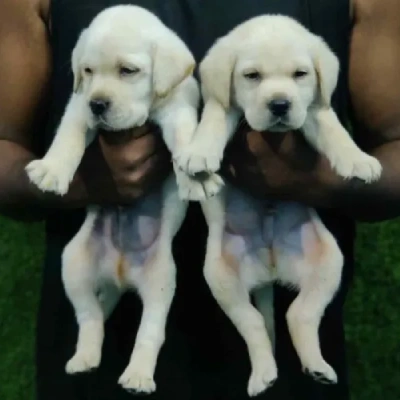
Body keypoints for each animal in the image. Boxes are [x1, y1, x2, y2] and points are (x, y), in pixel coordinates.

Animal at [25, 4, 222, 396]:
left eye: (128, 71)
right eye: (87, 71)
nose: (99, 104)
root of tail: (119, 276)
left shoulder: (178, 108)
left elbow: (184, 139)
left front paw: (194, 178)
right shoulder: (77, 104)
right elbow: (68, 135)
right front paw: (52, 170)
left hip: (162, 283)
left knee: (150, 333)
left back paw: (138, 376)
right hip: (74, 265)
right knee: (89, 317)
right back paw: (84, 358)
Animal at [175, 14, 382, 396]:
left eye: (300, 74)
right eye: (252, 76)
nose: (280, 105)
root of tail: (269, 271)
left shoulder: (312, 106)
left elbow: (333, 127)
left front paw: (356, 159)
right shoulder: (225, 102)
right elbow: (213, 119)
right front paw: (199, 153)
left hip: (328, 262)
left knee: (298, 315)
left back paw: (317, 367)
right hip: (221, 277)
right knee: (254, 323)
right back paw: (263, 375)